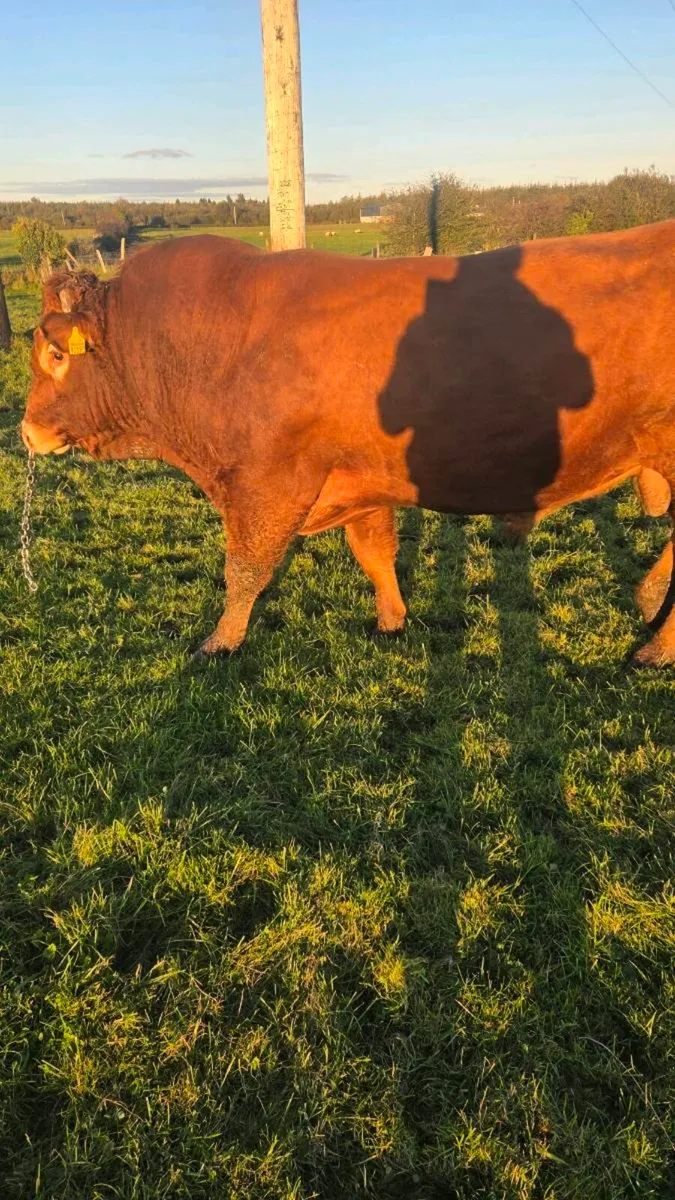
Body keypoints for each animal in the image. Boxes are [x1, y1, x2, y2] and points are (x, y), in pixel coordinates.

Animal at [21, 222, 675, 665]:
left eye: (55, 355)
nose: (27, 431)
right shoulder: (364, 476)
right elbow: (374, 551)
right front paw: (392, 620)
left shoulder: (267, 482)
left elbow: (244, 569)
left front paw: (220, 641)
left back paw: (654, 643)